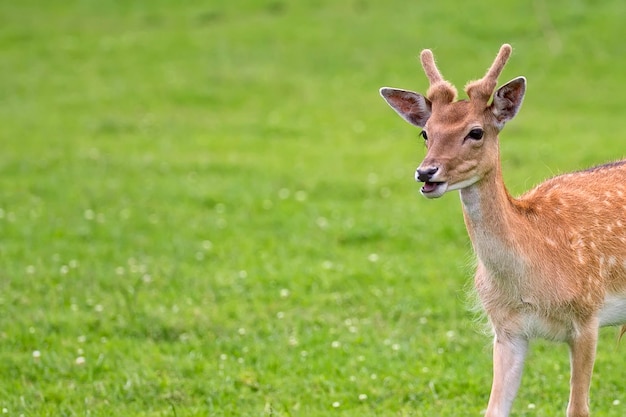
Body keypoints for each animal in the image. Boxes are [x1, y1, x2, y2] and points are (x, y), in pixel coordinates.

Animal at [378, 43, 624, 416]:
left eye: (476, 132)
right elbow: (493, 409)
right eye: (425, 132)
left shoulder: (588, 316)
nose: (426, 172)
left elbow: (577, 408)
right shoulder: (506, 328)